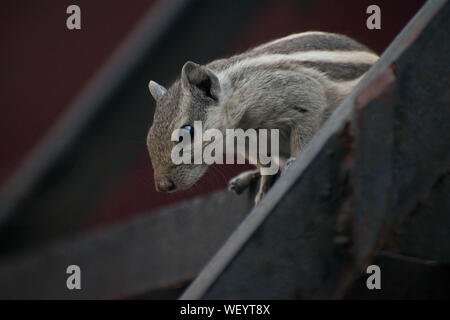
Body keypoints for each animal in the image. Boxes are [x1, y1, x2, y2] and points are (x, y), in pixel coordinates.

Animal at [146, 31, 378, 204]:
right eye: (148, 139)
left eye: (187, 131)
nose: (163, 186)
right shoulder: (248, 144)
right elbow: (264, 164)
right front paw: (264, 183)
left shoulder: (301, 92)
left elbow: (303, 132)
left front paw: (295, 160)